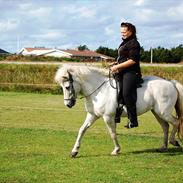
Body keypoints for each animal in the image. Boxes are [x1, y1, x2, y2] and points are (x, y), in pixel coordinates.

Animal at [55, 64, 183, 157]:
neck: (99, 90)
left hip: (163, 112)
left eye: (67, 87)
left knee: (176, 122)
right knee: (165, 126)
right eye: (63, 87)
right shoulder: (92, 115)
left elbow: (112, 133)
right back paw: (164, 147)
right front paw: (74, 151)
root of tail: (170, 83)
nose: (68, 104)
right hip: (157, 112)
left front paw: (116, 150)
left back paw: (173, 141)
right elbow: (82, 130)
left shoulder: (108, 117)